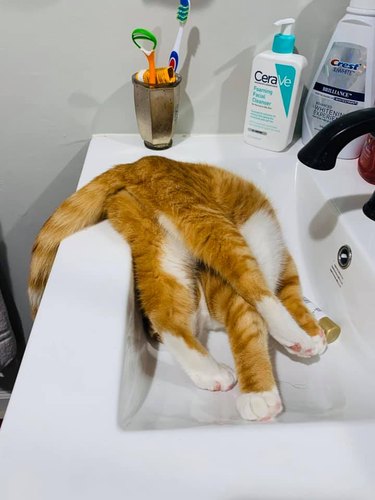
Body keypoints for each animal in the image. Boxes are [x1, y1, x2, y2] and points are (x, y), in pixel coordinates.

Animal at [29, 156, 328, 422]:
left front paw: (312, 333)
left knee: (166, 316)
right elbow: (249, 336)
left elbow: (293, 296)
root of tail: (136, 163)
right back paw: (278, 339)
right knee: (253, 286)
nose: (152, 337)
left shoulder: (287, 267)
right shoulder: (237, 298)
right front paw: (258, 393)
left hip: (158, 248)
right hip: (209, 225)